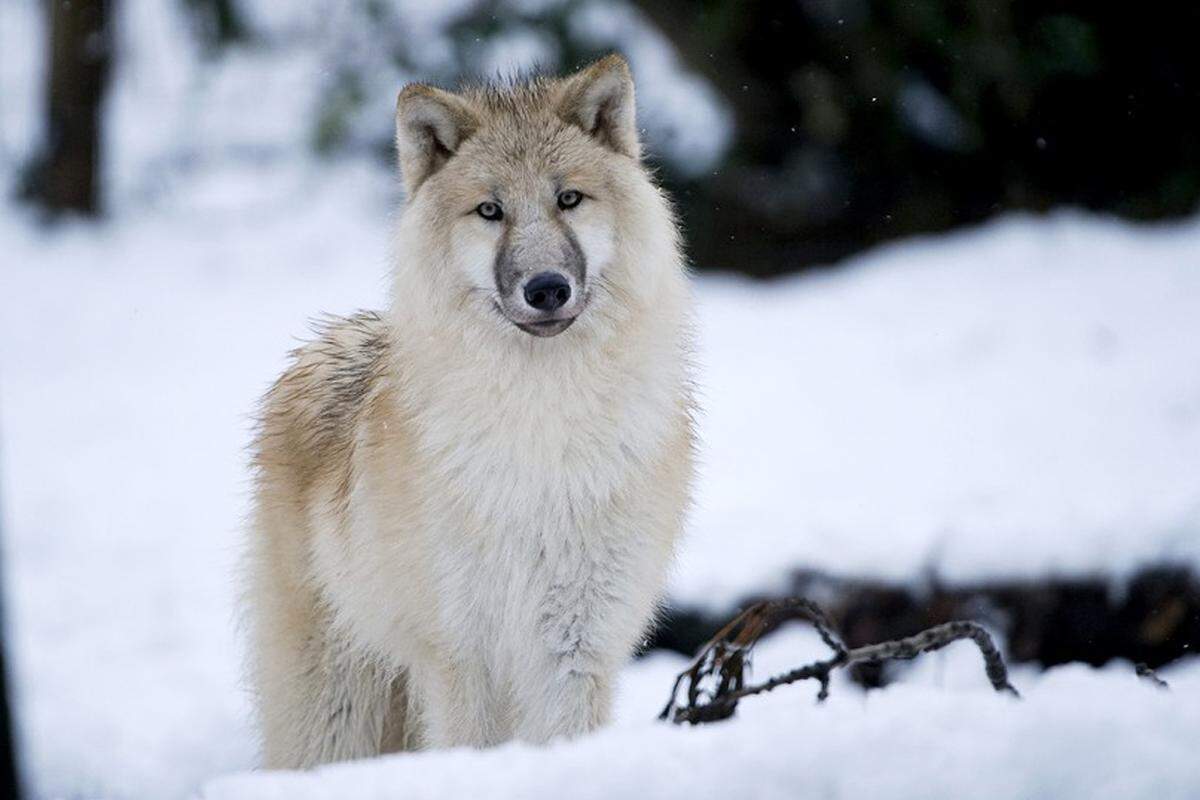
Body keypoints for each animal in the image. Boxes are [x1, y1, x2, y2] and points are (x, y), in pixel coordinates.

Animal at [246, 56, 696, 767]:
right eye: (490, 210)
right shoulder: (462, 654)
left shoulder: (576, 646)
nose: (547, 288)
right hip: (337, 704)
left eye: (569, 199)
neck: (541, 427)